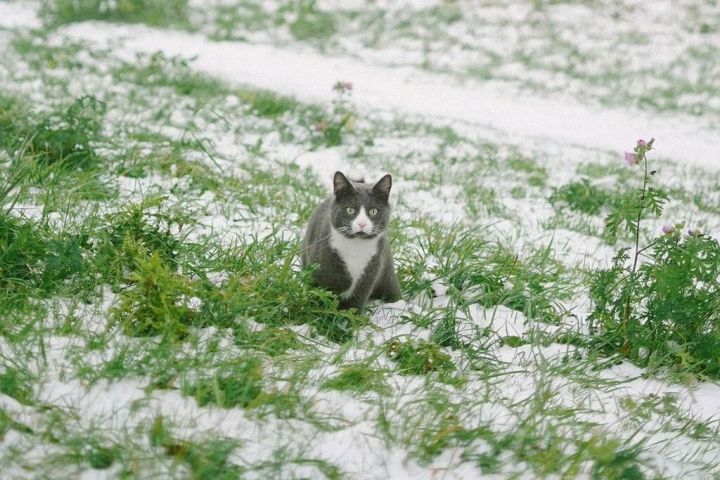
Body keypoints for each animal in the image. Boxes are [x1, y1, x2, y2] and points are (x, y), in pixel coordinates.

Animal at [300, 171, 402, 310]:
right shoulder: (321, 265)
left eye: (373, 211)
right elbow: (322, 295)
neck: (356, 246)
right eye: (350, 210)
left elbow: (356, 303)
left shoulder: (371, 271)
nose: (362, 224)